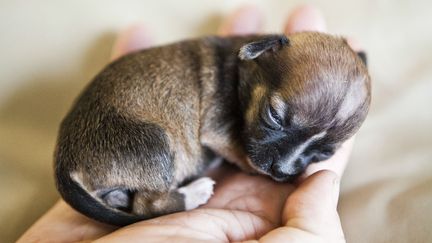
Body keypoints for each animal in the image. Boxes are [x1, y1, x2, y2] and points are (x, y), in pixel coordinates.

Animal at [54, 31, 372, 226]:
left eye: (325, 153)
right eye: (274, 116)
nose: (281, 171)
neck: (244, 70)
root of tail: (64, 164)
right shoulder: (220, 131)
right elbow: (243, 154)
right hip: (157, 144)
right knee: (147, 204)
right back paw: (194, 193)